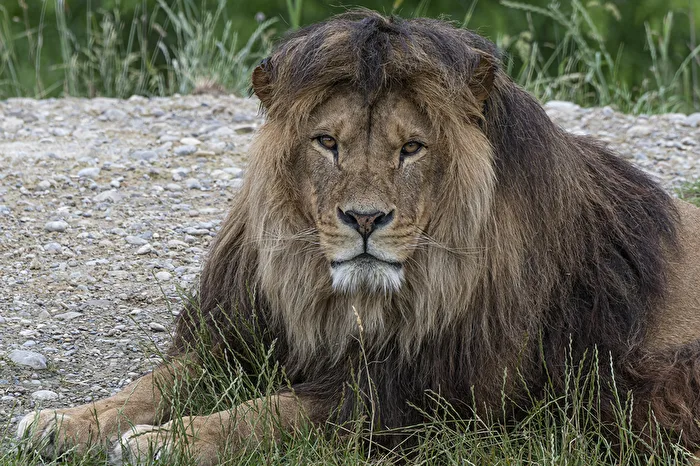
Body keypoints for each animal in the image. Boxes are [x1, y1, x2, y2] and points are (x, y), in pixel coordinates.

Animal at [17, 10, 700, 465]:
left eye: (412, 148)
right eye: (327, 142)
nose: (365, 220)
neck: (335, 297)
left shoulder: (418, 397)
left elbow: (270, 413)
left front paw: (169, 439)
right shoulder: (241, 333)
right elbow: (151, 384)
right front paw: (59, 422)